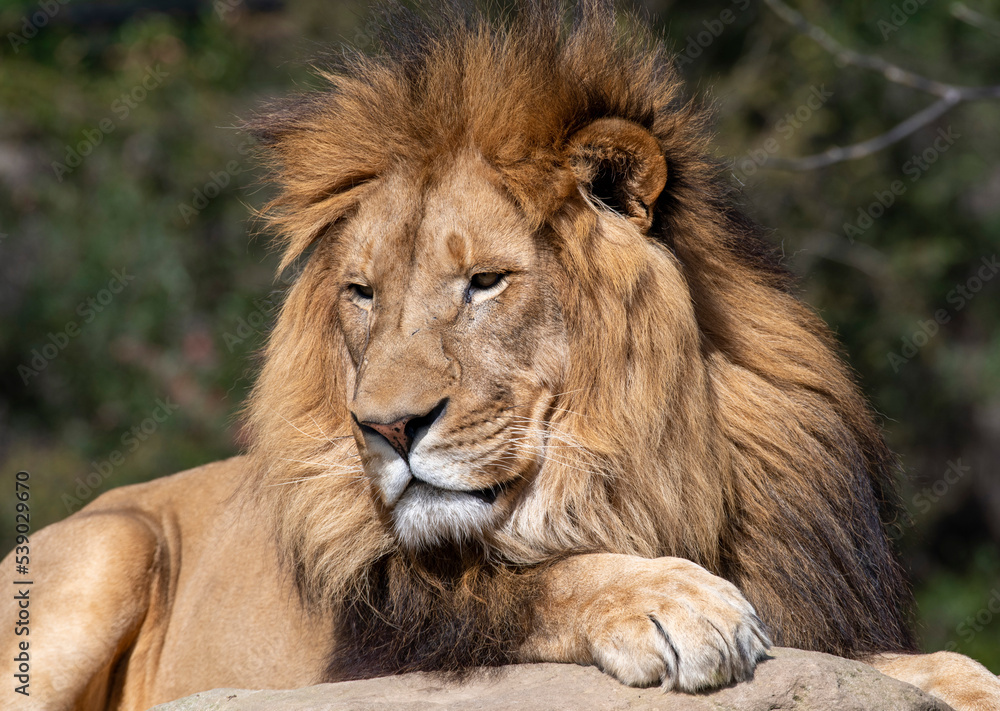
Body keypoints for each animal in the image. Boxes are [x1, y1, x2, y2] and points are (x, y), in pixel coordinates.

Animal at [1, 1, 1000, 711]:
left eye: (485, 281)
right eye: (362, 293)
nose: (384, 427)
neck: (650, 469)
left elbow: (923, 662)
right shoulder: (381, 645)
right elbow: (536, 583)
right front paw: (671, 600)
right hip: (110, 547)